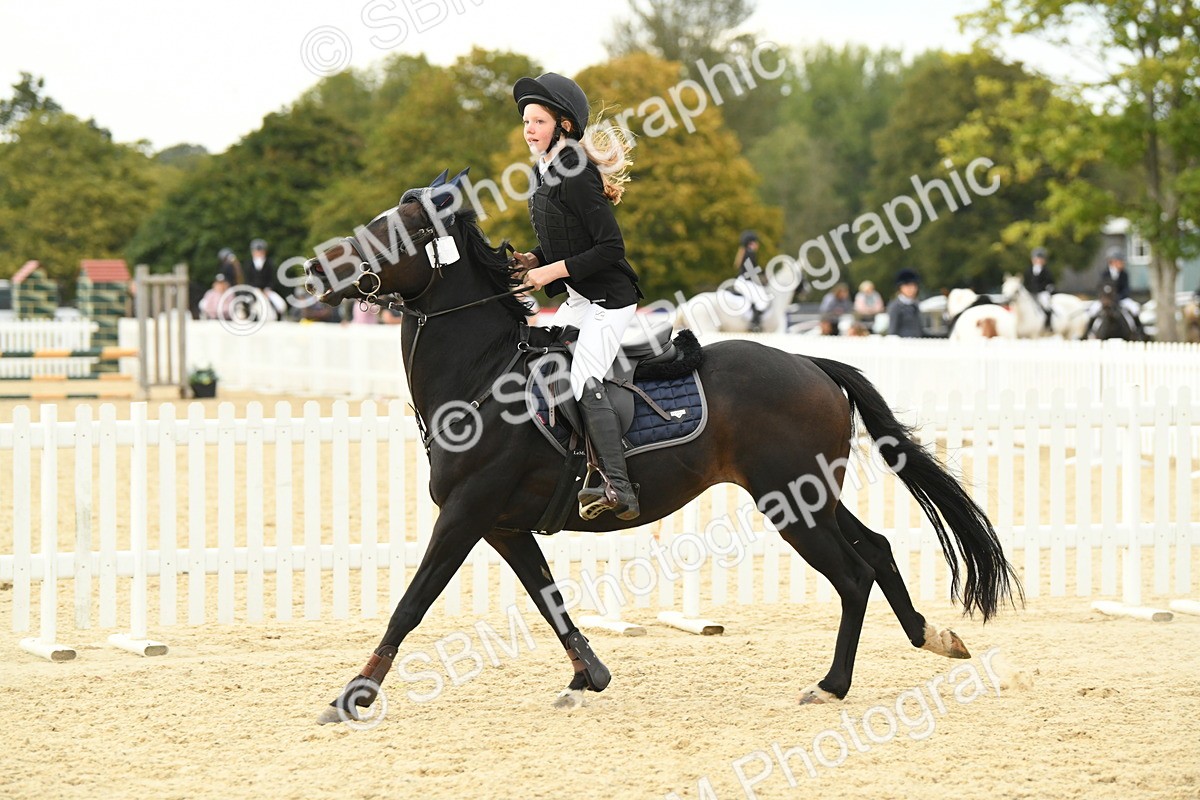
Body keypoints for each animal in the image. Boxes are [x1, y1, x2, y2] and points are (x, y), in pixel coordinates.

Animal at [302, 170, 1020, 722]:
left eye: (397, 230)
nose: (312, 266)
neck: (482, 376)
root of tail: (810, 362)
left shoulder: (466, 514)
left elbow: (410, 605)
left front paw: (352, 696)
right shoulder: (504, 524)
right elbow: (548, 599)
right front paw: (587, 677)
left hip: (789, 502)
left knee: (852, 575)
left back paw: (831, 685)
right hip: (812, 493)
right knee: (877, 549)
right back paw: (933, 636)